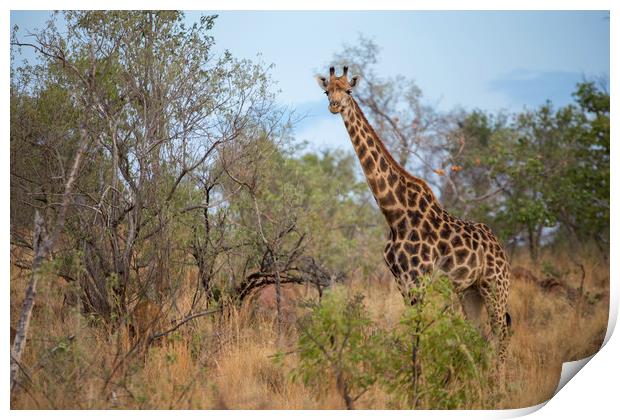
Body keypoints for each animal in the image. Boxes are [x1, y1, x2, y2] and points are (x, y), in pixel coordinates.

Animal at [318, 65, 512, 384]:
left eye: (348, 90)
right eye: (326, 91)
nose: (334, 106)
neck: (394, 213)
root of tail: (500, 247)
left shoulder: (419, 279)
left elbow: (419, 335)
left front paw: (417, 384)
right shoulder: (402, 281)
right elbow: (413, 332)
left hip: (496, 285)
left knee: (502, 331)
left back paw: (499, 385)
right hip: (470, 290)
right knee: (479, 333)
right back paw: (477, 381)